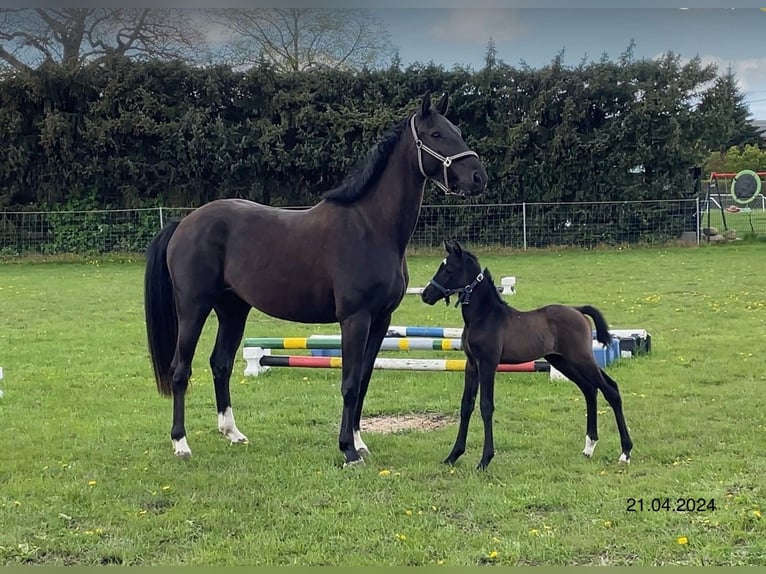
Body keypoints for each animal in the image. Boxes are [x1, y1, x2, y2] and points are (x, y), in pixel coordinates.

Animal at [424, 241, 632, 470]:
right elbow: (466, 405)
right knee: (589, 389)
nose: (425, 294)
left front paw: (485, 460)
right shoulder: (471, 364)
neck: (484, 316)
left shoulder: (488, 363)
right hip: (561, 361)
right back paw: (589, 447)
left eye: (448, 270)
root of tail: (578, 310)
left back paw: (625, 452)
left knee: (610, 390)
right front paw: (453, 456)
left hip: (580, 358)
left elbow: (486, 406)